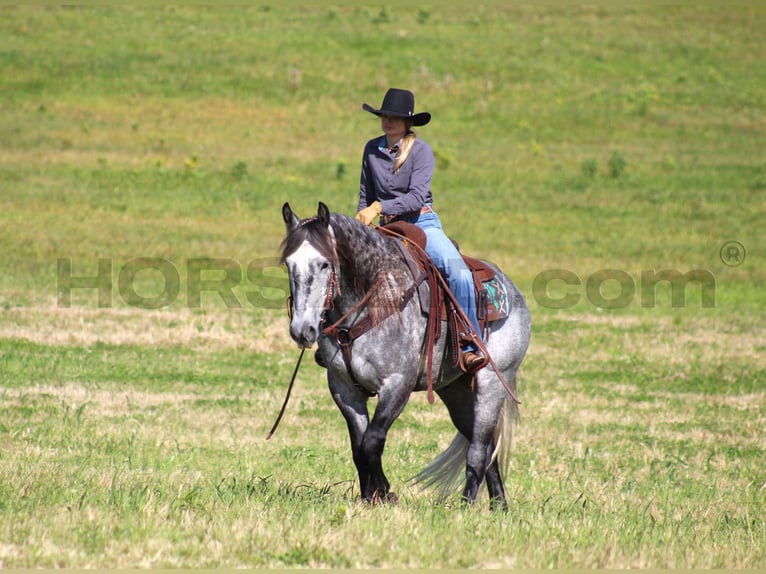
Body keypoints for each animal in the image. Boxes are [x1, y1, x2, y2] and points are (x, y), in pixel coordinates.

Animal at [282, 205, 536, 510]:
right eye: (288, 264)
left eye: (324, 264)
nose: (302, 330)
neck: (374, 301)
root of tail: (512, 290)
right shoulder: (344, 389)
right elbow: (358, 447)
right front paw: (371, 496)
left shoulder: (397, 384)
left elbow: (372, 441)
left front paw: (385, 493)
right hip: (457, 392)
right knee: (485, 446)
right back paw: (499, 506)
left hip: (493, 384)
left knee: (478, 449)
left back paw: (466, 507)